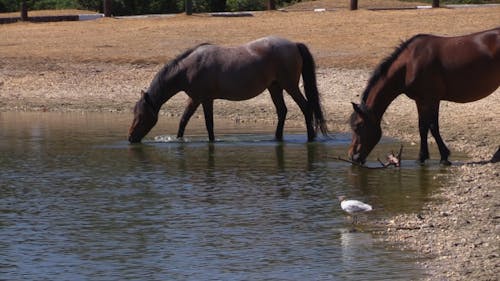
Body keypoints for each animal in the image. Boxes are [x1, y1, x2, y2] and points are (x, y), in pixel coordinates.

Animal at [128, 35, 328, 142]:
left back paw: (310, 138)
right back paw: (277, 138)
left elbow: (209, 124)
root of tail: (294, 44)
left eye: (142, 116)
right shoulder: (194, 99)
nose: (130, 138)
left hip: (290, 86)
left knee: (306, 107)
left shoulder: (206, 100)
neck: (189, 68)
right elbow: (183, 121)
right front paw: (179, 141)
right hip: (275, 87)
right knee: (282, 111)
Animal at [350, 26, 498, 164]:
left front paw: (444, 157)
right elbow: (422, 127)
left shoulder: (431, 99)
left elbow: (433, 127)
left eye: (358, 126)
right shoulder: (420, 100)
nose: (353, 157)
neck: (410, 64)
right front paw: (422, 156)